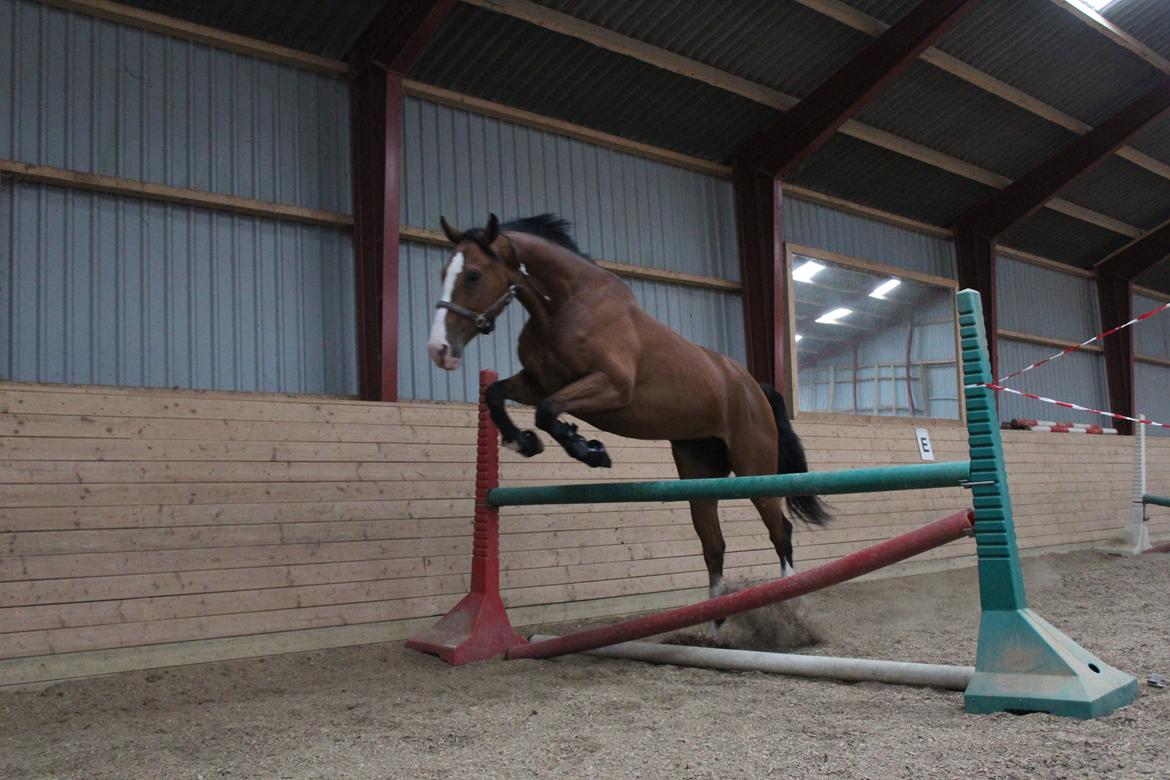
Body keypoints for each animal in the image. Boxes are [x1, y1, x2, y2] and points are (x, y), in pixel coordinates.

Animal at [432, 214, 833, 622]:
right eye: (444, 272)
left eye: (474, 275)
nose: (440, 350)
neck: (563, 305)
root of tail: (755, 386)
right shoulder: (536, 382)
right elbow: (499, 395)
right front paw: (524, 442)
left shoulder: (612, 387)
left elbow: (547, 410)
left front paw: (590, 450)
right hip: (699, 469)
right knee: (714, 544)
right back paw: (714, 623)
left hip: (755, 469)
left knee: (780, 530)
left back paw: (791, 603)